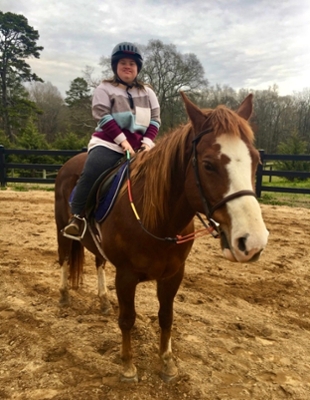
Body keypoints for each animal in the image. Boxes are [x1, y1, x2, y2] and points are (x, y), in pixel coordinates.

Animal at [54, 92, 268, 382]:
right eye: (208, 164)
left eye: (256, 160)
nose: (253, 241)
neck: (158, 220)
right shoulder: (126, 276)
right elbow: (127, 319)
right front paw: (128, 366)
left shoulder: (173, 275)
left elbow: (166, 317)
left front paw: (167, 362)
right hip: (62, 230)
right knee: (65, 258)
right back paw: (64, 295)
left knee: (99, 262)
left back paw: (103, 301)